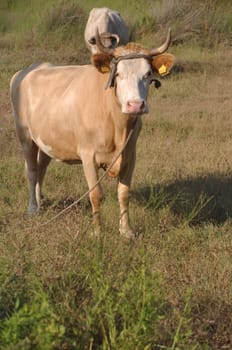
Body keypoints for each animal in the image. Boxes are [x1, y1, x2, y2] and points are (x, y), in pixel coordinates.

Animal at [10, 29, 174, 238]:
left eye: (147, 74)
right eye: (117, 74)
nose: (135, 105)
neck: (117, 126)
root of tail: (28, 70)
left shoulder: (130, 154)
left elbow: (123, 193)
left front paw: (126, 230)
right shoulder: (88, 156)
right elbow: (96, 195)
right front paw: (97, 232)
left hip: (47, 141)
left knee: (41, 169)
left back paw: (40, 201)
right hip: (25, 136)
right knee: (31, 171)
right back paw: (32, 208)